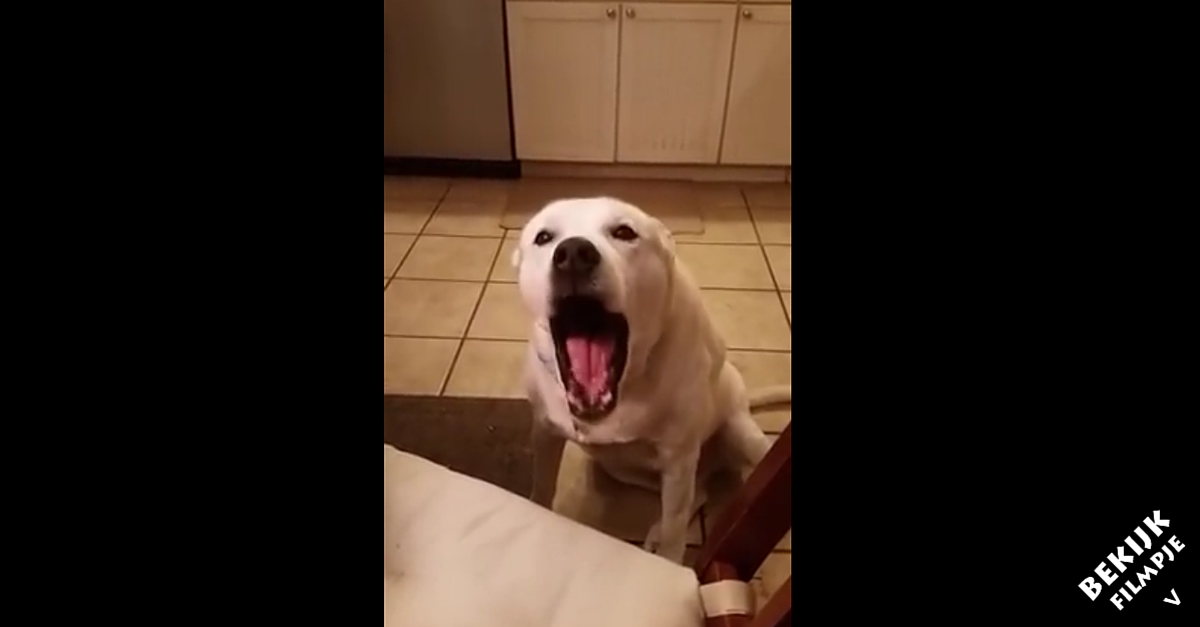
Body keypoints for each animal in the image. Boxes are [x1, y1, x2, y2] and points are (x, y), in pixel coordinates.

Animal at [512, 196, 791, 564]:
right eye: (544, 237)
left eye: (624, 232)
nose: (573, 253)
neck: (628, 384)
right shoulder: (545, 433)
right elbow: (542, 486)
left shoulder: (677, 456)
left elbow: (675, 528)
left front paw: (672, 562)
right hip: (624, 466)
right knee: (698, 491)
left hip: (737, 433)